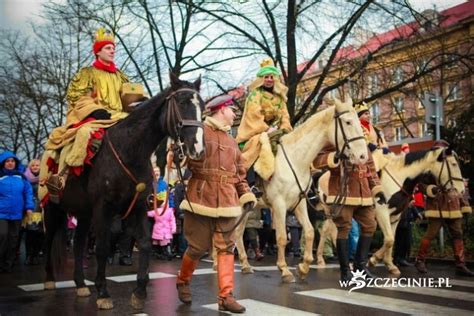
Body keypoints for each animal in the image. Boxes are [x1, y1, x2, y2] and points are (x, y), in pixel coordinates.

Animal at [41, 73, 204, 310]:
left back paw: (80, 284)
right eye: (182, 103)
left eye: (202, 106)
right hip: (53, 209)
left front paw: (140, 293)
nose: (197, 148)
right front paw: (103, 293)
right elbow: (102, 247)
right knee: (50, 240)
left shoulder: (139, 206)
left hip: (84, 213)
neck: (129, 151)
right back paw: (50, 281)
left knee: (79, 244)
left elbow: (144, 243)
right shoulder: (104, 208)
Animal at [224, 97, 368, 282]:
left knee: (238, 232)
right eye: (348, 122)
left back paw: (245, 265)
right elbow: (281, 237)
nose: (363, 156)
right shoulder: (279, 205)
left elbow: (310, 232)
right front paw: (285, 270)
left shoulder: (299, 203)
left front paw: (304, 267)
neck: (295, 159)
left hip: (248, 207)